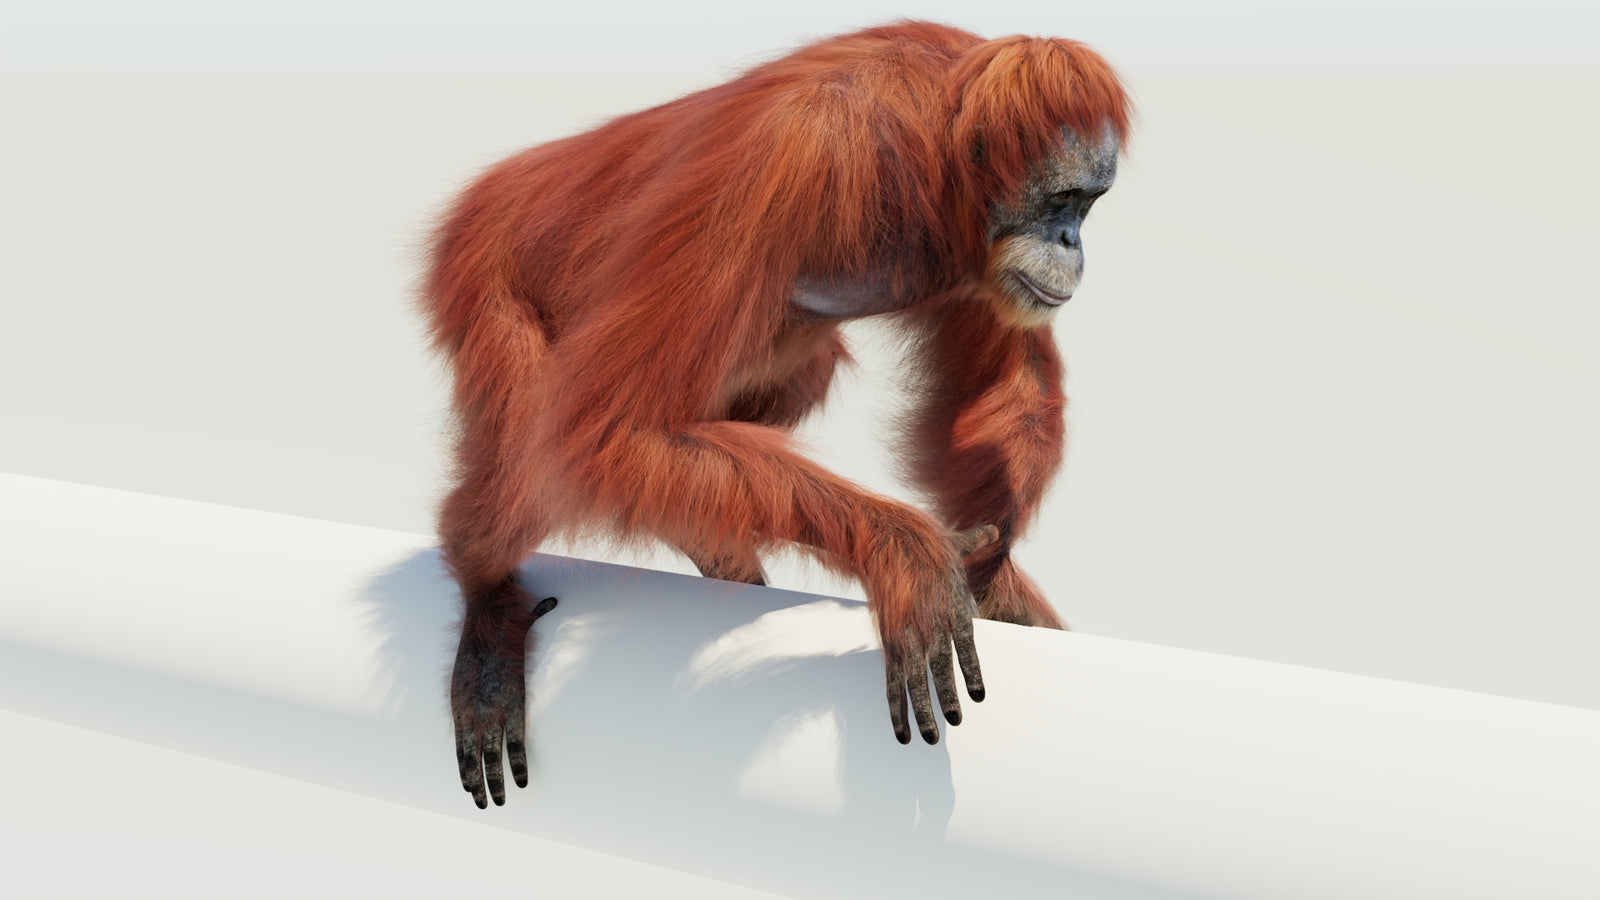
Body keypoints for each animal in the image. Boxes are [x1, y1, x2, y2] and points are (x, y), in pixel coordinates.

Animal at [422, 21, 1129, 808]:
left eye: (1089, 204)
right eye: (1061, 200)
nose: (1072, 243)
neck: (930, 149)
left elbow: (1001, 379)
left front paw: (991, 559)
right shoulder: (788, 157)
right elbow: (604, 427)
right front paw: (907, 551)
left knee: (790, 376)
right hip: (484, 273)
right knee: (534, 446)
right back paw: (487, 599)